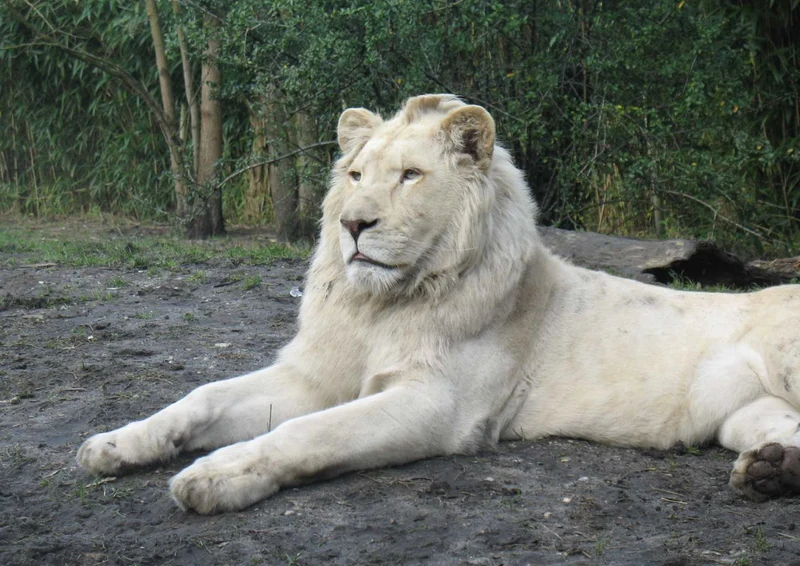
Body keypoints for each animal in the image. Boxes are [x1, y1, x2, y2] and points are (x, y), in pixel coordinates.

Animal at [77, 94, 800, 514]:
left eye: (410, 177)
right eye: (356, 175)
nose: (354, 225)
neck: (381, 306)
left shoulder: (439, 405)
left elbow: (308, 433)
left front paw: (216, 475)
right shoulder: (314, 377)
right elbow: (200, 398)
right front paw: (114, 445)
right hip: (746, 416)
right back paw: (769, 473)